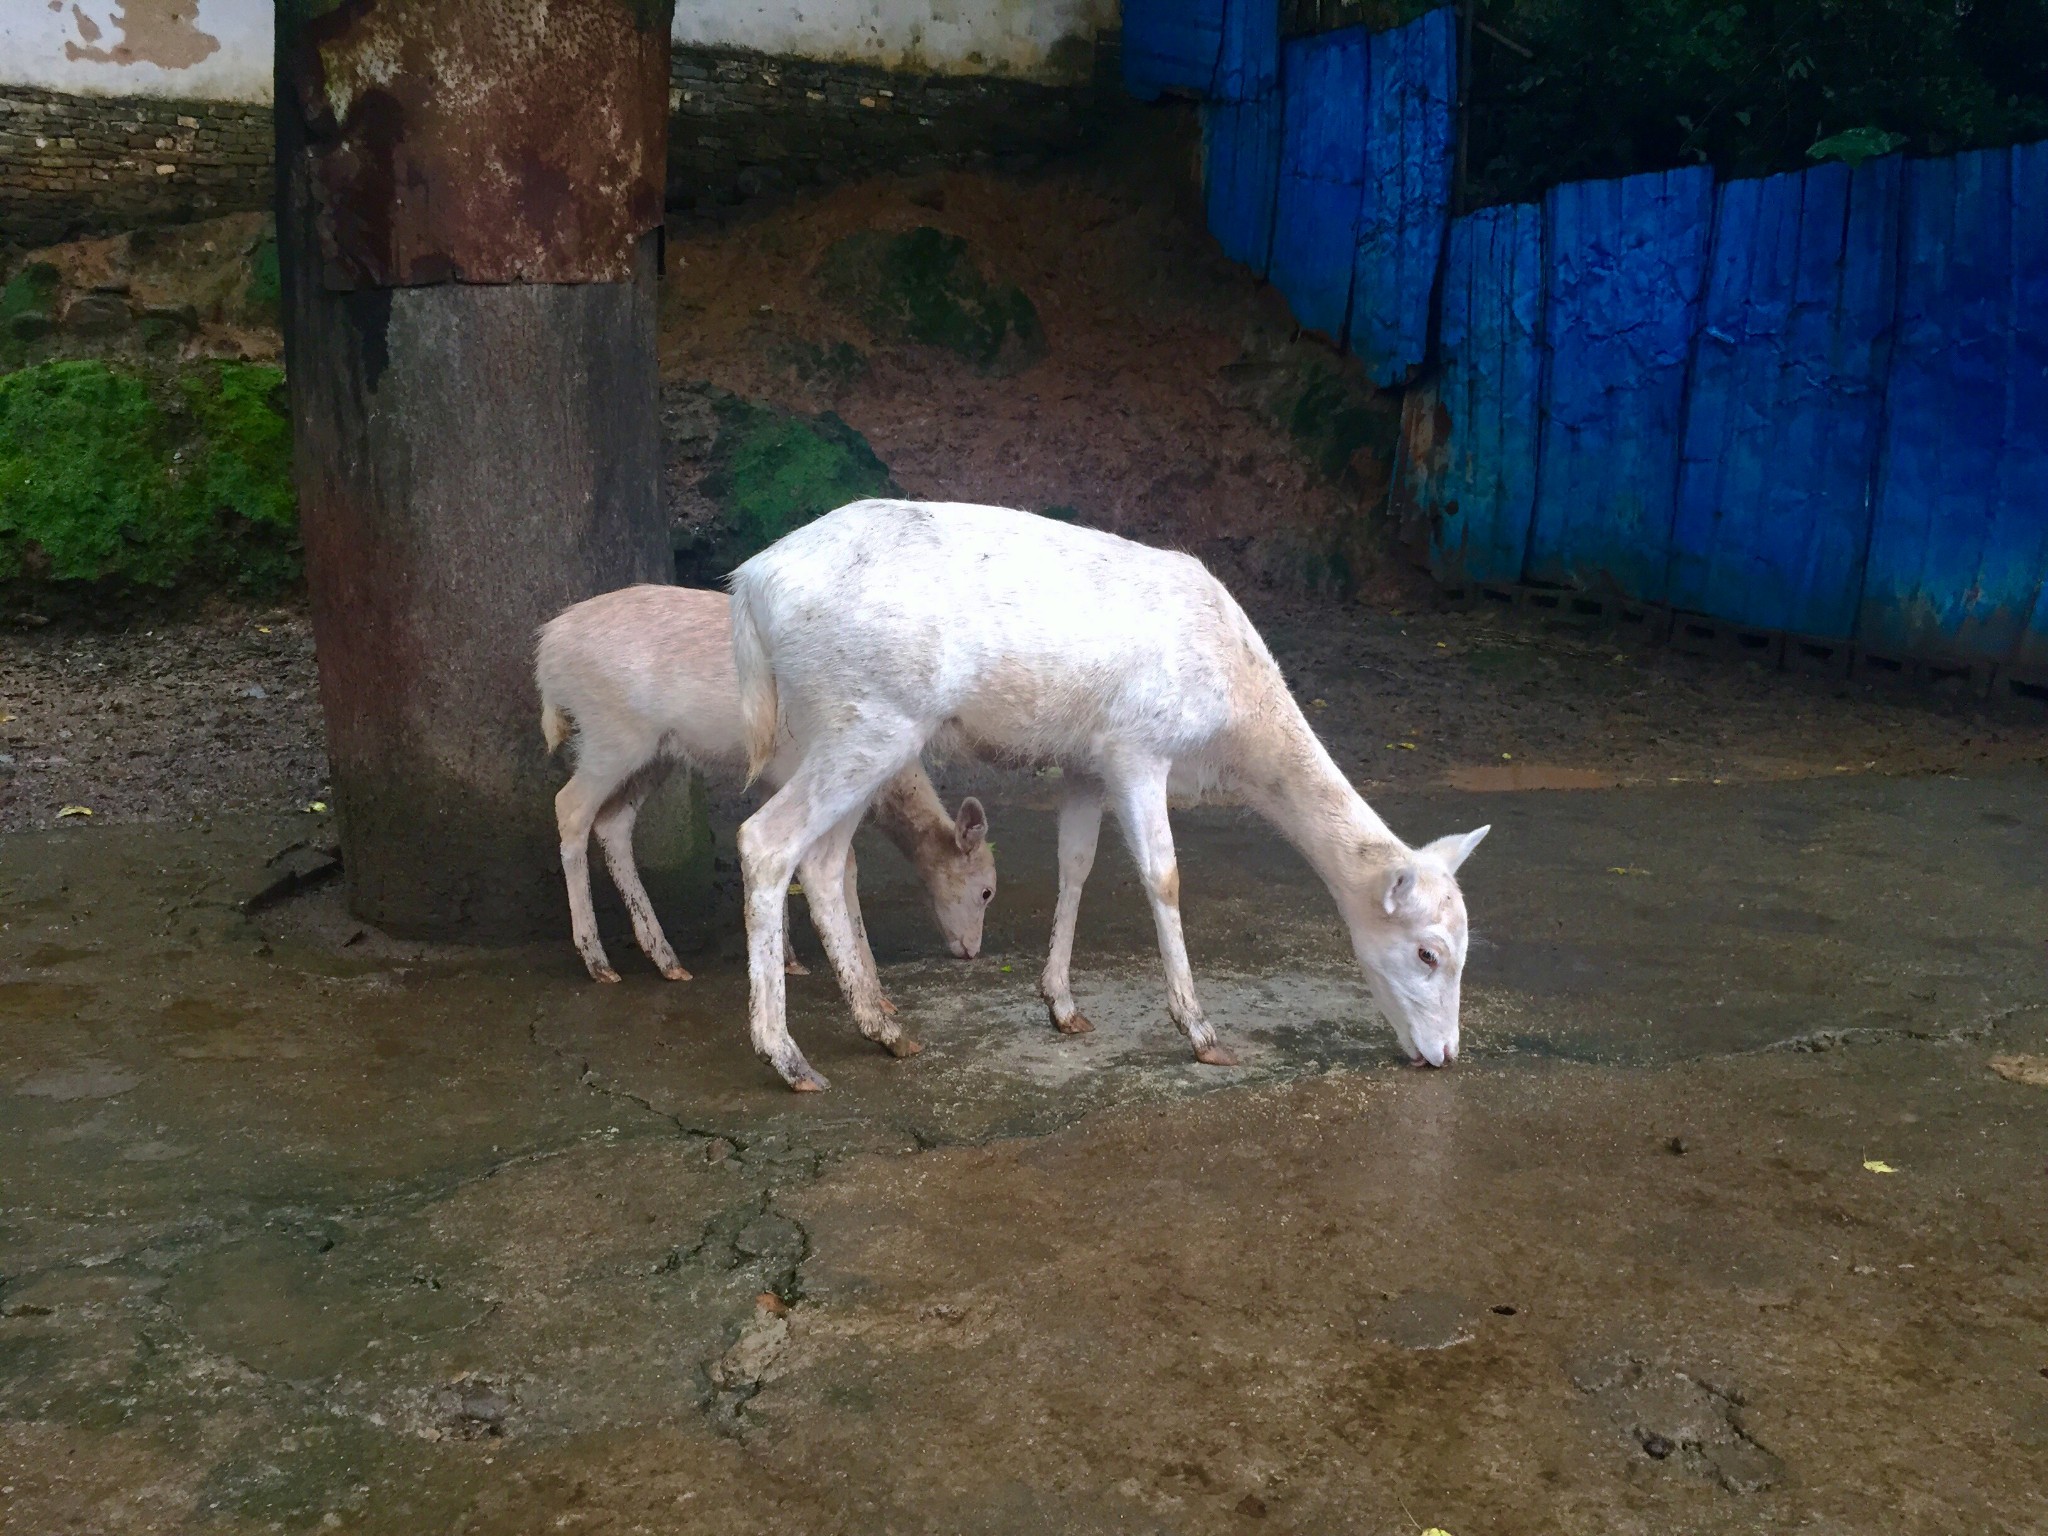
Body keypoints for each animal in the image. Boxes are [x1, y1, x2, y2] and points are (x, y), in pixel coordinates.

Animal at [536, 585, 991, 1011]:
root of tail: (546, 652)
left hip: (655, 752)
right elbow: (843, 865)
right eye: (987, 891)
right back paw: (598, 960)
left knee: (613, 823)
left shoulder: (773, 779)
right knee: (570, 807)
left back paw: (665, 958)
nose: (971, 950)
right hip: (611, 734)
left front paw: (790, 958)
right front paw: (875, 991)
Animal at [724, 505, 1490, 1097]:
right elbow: (1164, 876)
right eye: (1428, 953)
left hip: (848, 728)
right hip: (869, 718)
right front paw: (1201, 1031)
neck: (1231, 722)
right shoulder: (1136, 747)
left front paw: (1062, 1005)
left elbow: (1077, 864)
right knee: (766, 840)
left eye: (1464, 948)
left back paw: (884, 1028)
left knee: (824, 862)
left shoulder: (1085, 762)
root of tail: (749, 584)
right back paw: (789, 1058)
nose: (1445, 1054)